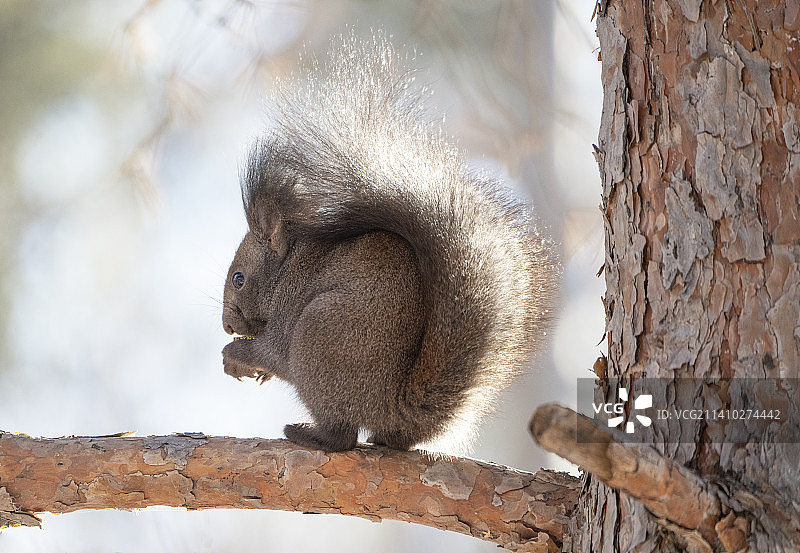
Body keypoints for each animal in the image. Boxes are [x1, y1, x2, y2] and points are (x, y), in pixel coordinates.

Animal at [221, 35, 558, 453]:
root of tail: (393, 409)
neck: (287, 268)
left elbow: (273, 351)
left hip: (320, 334)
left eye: (238, 278)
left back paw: (306, 433)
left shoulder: (289, 310)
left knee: (342, 436)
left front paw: (236, 355)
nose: (227, 327)